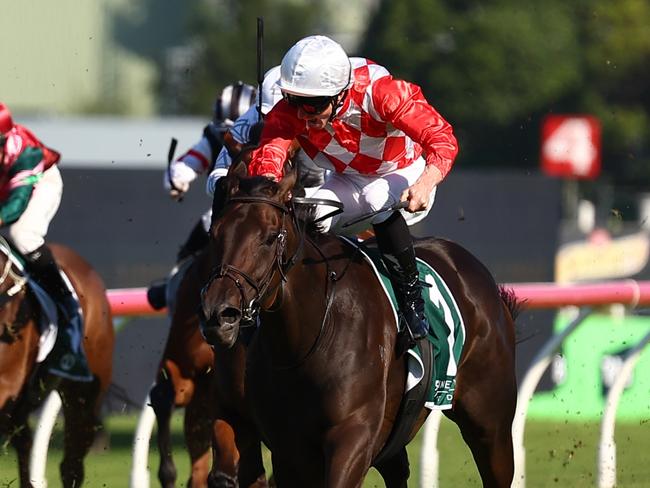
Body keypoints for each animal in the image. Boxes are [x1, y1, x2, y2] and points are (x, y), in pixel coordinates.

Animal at [200, 164, 520, 488]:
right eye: (215, 234)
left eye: (267, 238)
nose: (219, 314)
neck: (307, 338)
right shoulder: (287, 449)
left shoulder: (353, 436)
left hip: (490, 426)